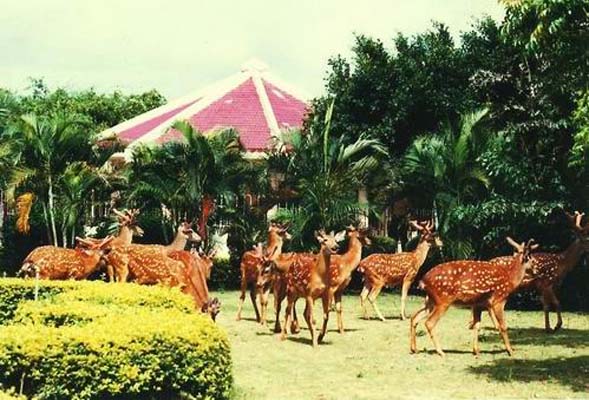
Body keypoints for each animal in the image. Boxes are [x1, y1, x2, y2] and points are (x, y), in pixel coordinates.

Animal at [408, 238, 536, 356]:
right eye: (531, 259)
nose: (535, 270)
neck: (510, 280)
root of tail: (423, 281)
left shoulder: (478, 304)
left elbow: (476, 325)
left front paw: (476, 351)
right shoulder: (498, 300)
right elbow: (503, 326)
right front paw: (510, 351)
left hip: (430, 300)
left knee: (415, 317)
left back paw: (414, 349)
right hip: (443, 300)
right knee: (429, 322)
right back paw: (440, 351)